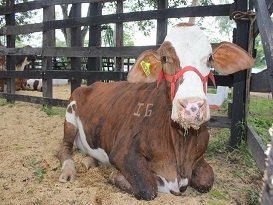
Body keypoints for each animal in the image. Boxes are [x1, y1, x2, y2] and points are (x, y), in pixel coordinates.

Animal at [58, 23, 253, 199]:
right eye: (165, 58)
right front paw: (116, 175)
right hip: (70, 112)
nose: (192, 105)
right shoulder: (123, 151)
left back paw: (90, 160)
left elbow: (207, 180)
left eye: (210, 57)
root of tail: (92, 84)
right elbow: (149, 186)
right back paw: (69, 170)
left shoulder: (199, 156)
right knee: (65, 147)